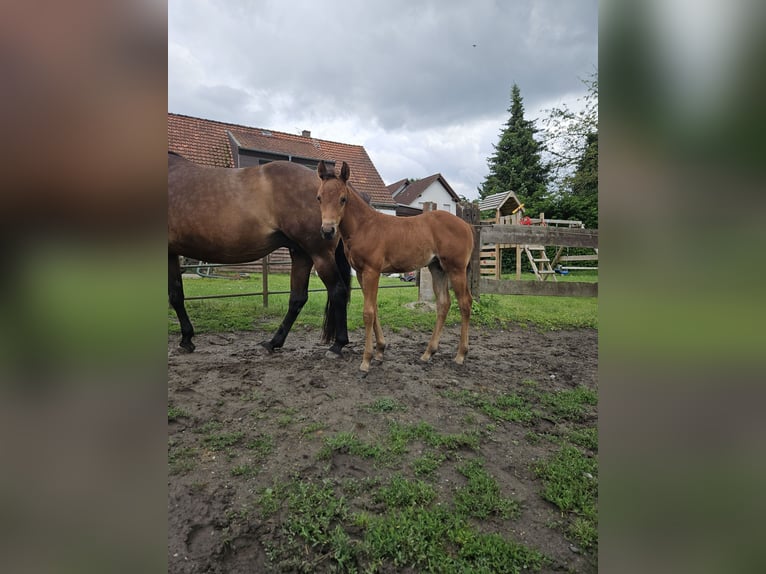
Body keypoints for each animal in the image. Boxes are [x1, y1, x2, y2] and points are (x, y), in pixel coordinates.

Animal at [168, 152, 351, 356]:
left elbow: (174, 296)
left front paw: (186, 339)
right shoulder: (171, 253)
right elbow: (176, 294)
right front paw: (186, 338)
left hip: (319, 254)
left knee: (337, 291)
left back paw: (338, 344)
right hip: (301, 253)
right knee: (298, 298)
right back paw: (274, 342)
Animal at [315, 160, 474, 372]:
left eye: (343, 199)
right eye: (319, 198)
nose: (327, 231)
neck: (364, 226)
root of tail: (466, 226)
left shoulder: (372, 271)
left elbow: (368, 312)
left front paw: (366, 360)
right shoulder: (361, 273)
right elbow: (373, 308)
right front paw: (380, 351)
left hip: (456, 269)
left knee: (465, 303)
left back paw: (460, 355)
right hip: (437, 268)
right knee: (443, 304)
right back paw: (428, 353)